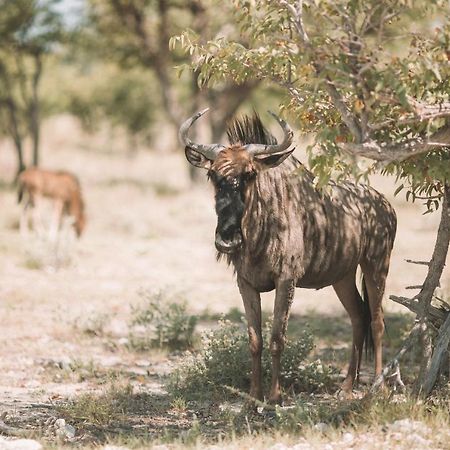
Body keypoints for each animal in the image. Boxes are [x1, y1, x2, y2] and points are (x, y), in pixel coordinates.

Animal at [180, 110, 398, 404]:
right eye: (213, 175)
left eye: (249, 174)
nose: (227, 239)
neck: (262, 226)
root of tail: (385, 204)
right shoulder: (246, 284)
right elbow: (255, 340)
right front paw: (254, 395)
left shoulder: (286, 281)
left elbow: (277, 339)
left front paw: (274, 396)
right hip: (342, 277)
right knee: (358, 318)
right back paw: (346, 387)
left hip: (376, 265)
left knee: (376, 321)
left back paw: (377, 387)